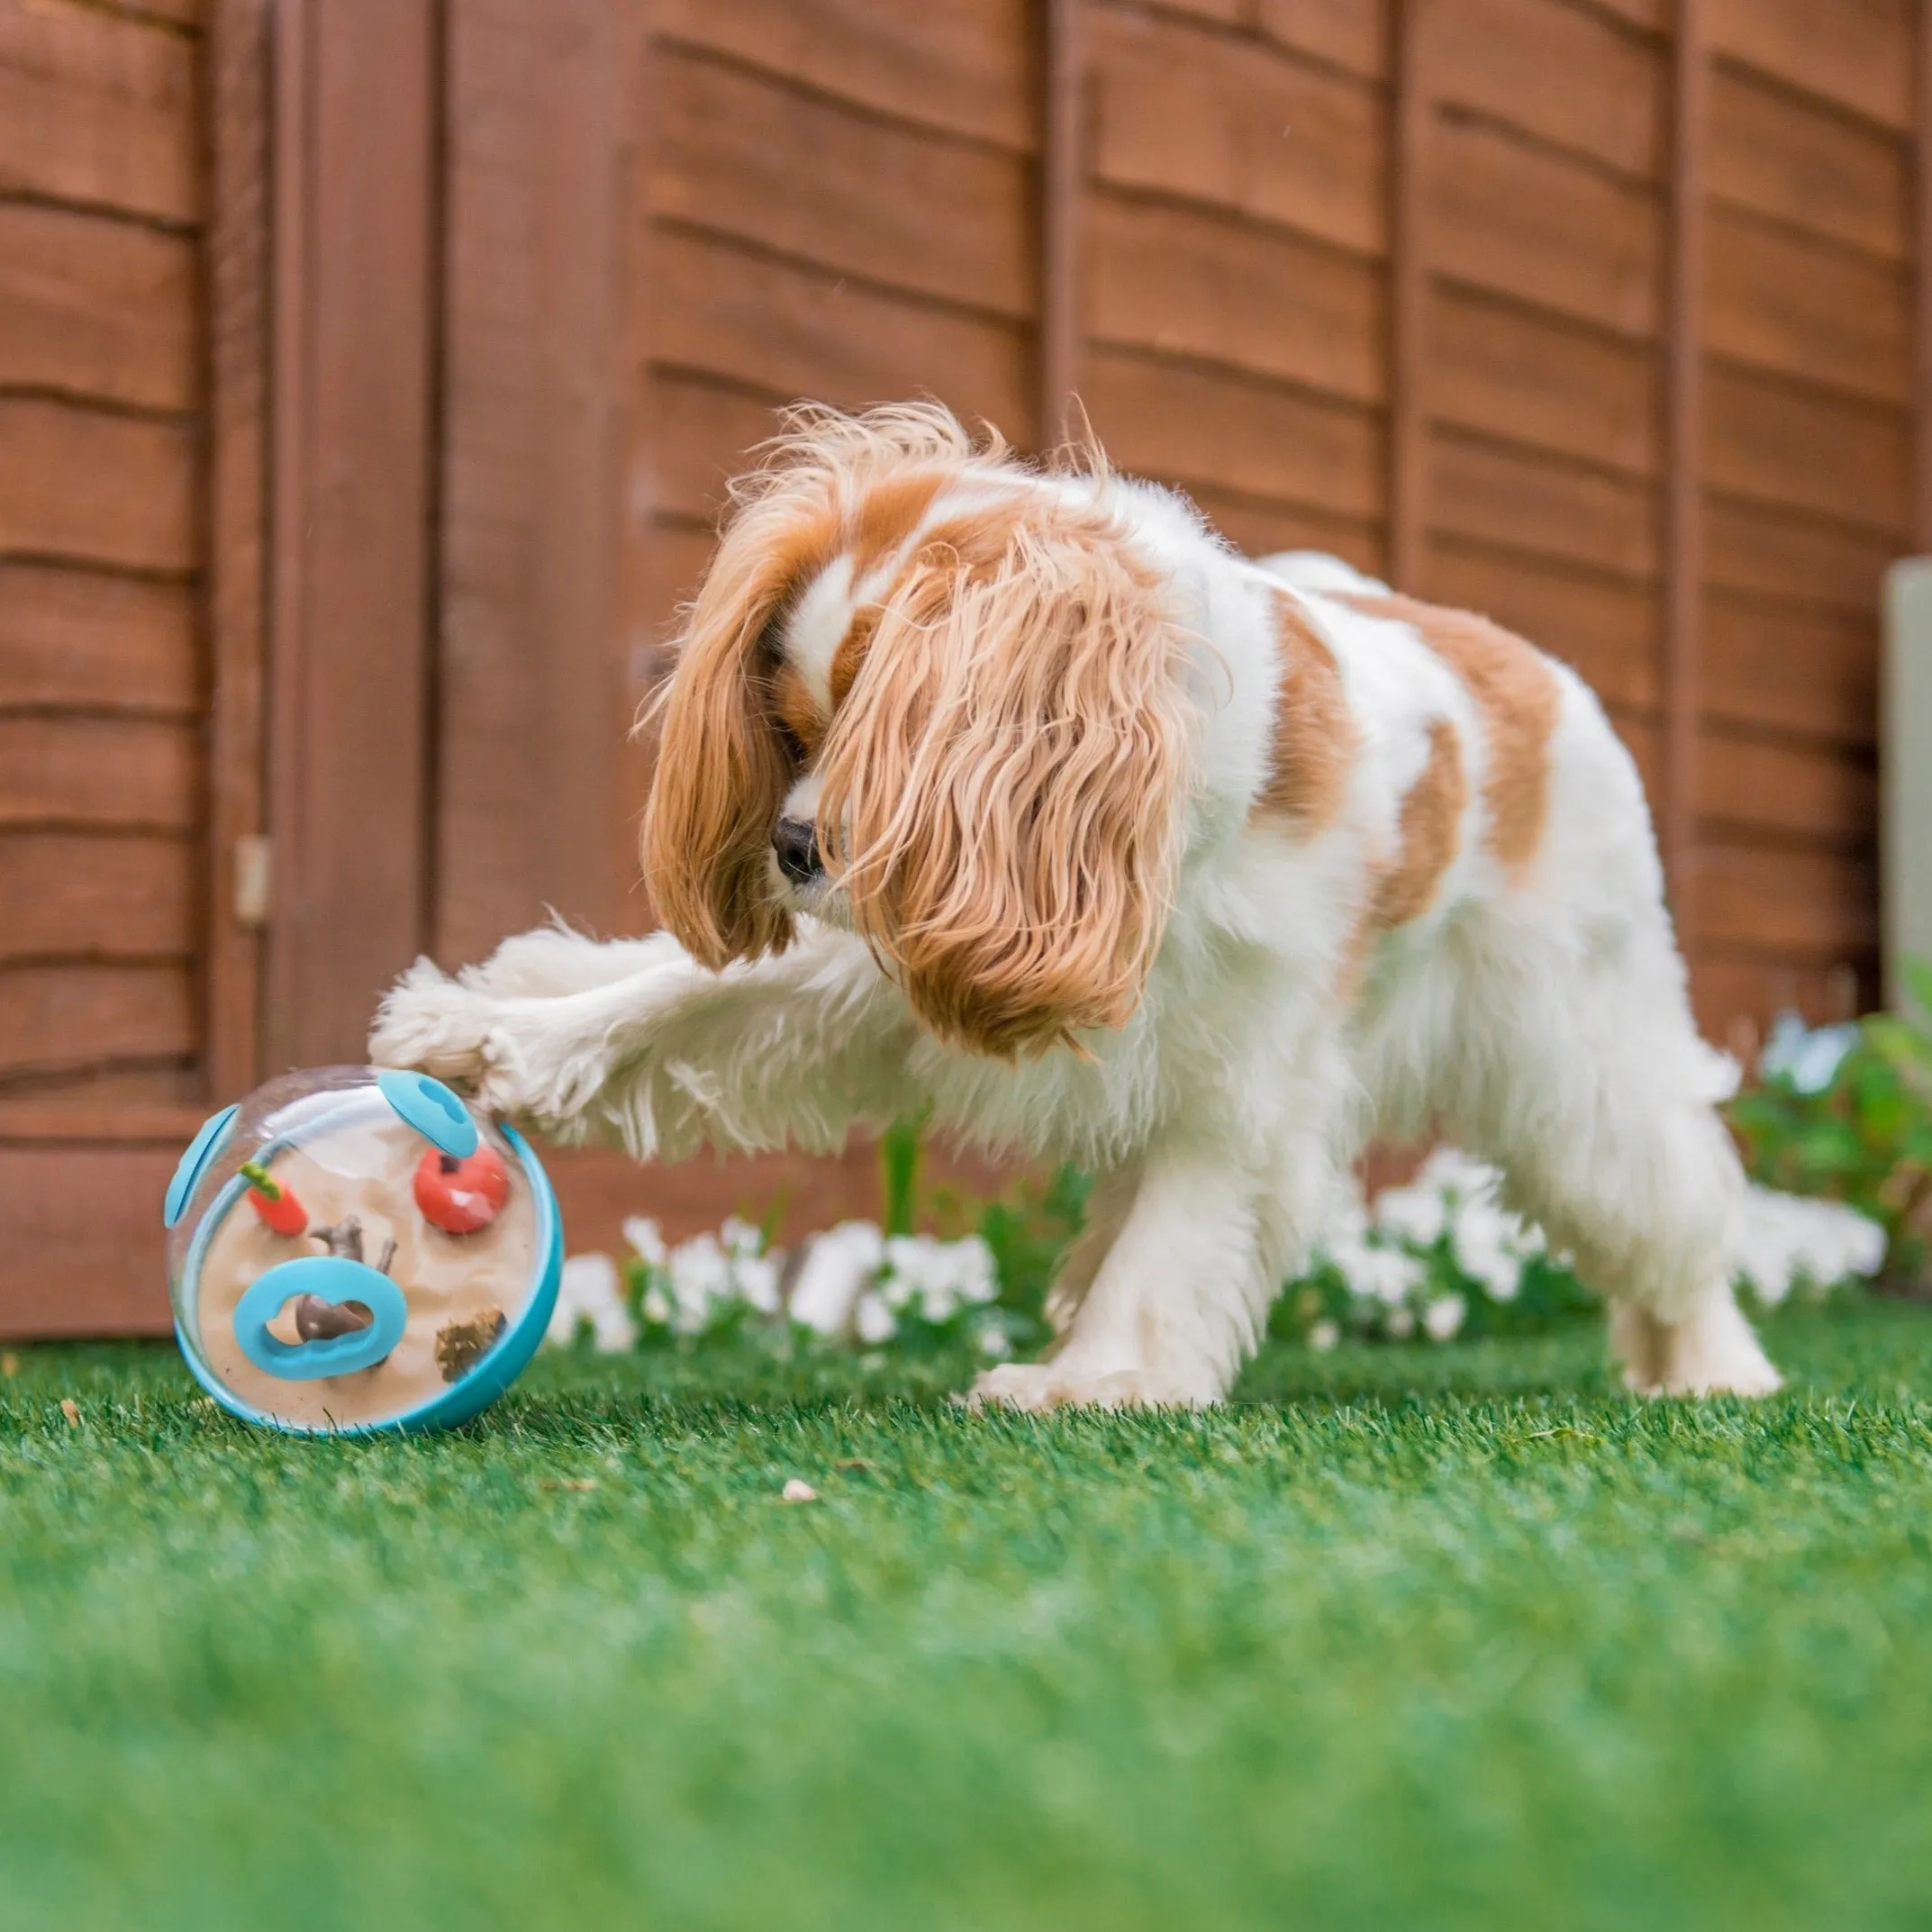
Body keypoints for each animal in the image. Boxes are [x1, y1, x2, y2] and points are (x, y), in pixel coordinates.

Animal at [372, 404, 1777, 1406]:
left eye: (882, 738)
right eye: (794, 730)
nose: (791, 845)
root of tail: (1537, 671)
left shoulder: (1248, 1080)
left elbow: (1179, 1234)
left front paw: (1098, 1379)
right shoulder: (914, 946)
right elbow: (674, 993)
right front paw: (491, 1037)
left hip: (1578, 1059)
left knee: (1674, 1213)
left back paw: (1711, 1373)